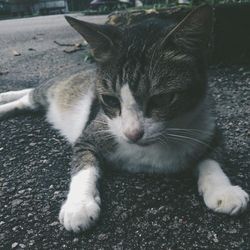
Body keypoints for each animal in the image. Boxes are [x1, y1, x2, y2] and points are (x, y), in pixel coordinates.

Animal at [0, 4, 248, 232]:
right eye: (110, 100)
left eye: (162, 99)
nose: (132, 133)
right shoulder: (90, 135)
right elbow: (84, 166)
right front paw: (79, 205)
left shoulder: (210, 127)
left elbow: (211, 159)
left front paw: (222, 189)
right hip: (50, 91)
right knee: (28, 97)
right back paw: (6, 101)